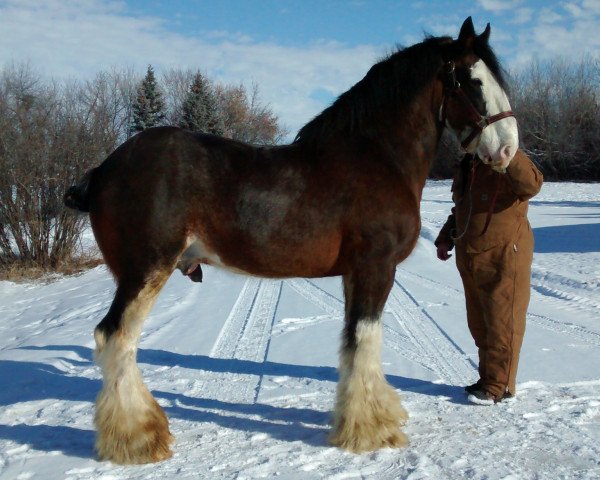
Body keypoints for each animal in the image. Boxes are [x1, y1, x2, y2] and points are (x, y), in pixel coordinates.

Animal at [63, 16, 516, 464]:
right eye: (473, 80)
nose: (508, 150)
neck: (377, 156)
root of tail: (103, 170)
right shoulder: (376, 267)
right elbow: (367, 338)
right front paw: (372, 430)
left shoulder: (353, 273)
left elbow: (352, 343)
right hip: (144, 271)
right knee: (116, 338)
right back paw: (138, 438)